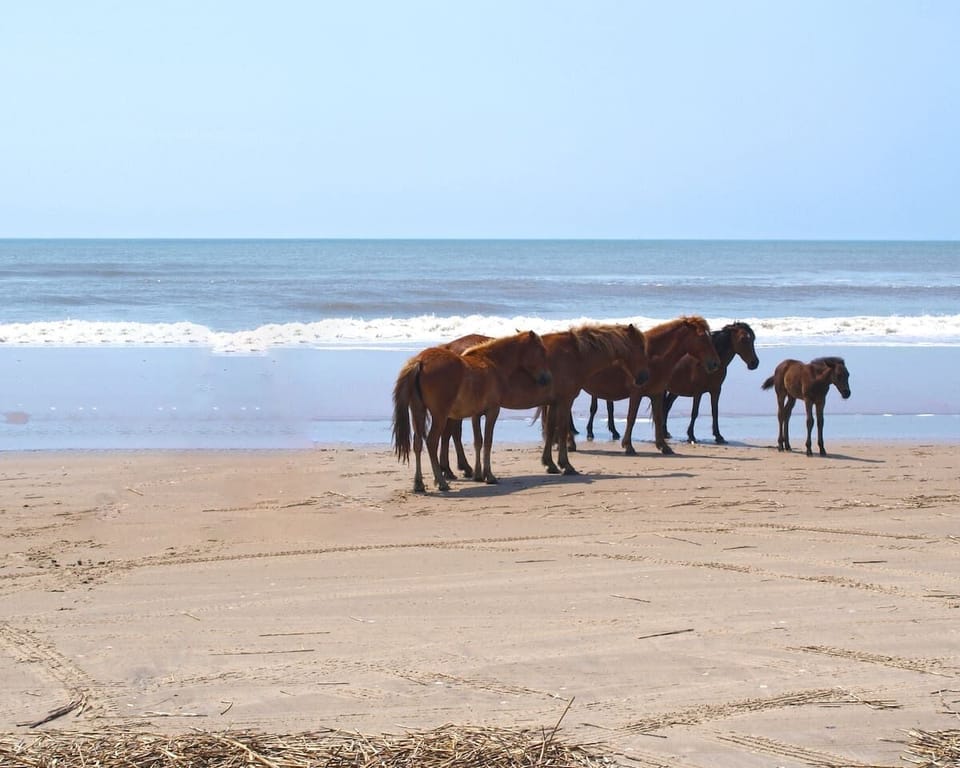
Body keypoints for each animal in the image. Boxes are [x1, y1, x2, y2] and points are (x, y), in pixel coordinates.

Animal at [392, 330, 552, 492]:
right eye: (541, 351)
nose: (547, 378)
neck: (492, 363)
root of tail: (420, 361)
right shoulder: (493, 411)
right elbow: (487, 441)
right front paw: (489, 476)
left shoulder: (476, 414)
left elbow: (478, 442)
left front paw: (478, 475)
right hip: (439, 416)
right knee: (431, 442)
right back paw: (441, 482)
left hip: (418, 411)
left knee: (418, 443)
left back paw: (419, 484)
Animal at [441, 323, 650, 478]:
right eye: (640, 347)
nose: (643, 377)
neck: (574, 355)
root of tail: (451, 348)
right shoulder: (565, 401)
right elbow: (563, 429)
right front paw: (566, 465)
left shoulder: (553, 402)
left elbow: (550, 431)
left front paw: (550, 463)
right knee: (452, 434)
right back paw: (456, 469)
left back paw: (453, 469)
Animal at [581, 316, 721, 456]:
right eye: (702, 337)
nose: (715, 363)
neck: (652, 357)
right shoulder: (636, 394)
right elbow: (631, 418)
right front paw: (628, 446)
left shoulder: (656, 394)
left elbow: (658, 418)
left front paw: (664, 446)